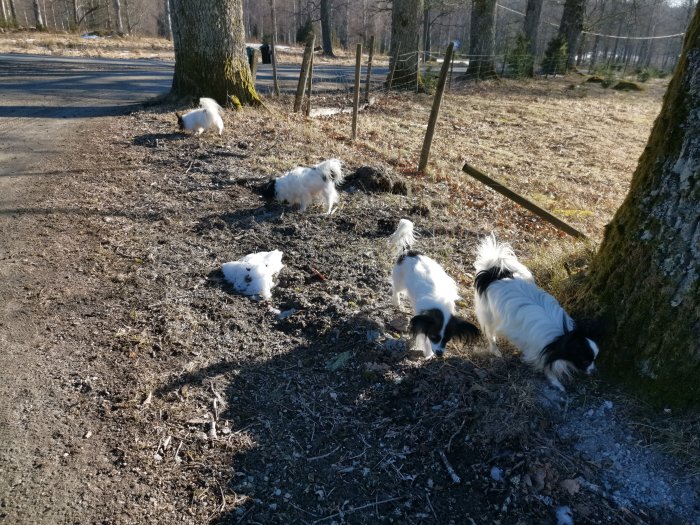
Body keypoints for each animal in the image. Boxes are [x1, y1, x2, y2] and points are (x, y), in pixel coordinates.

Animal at [388, 219, 482, 358]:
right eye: (433, 337)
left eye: (447, 339)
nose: (439, 354)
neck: (439, 307)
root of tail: (409, 252)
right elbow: (424, 338)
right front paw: (428, 353)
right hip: (400, 280)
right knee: (396, 288)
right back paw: (396, 301)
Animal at [476, 233, 600, 388]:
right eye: (585, 361)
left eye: (595, 359)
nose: (594, 371)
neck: (561, 337)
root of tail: (494, 274)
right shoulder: (540, 351)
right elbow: (548, 368)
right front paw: (556, 384)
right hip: (489, 316)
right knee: (490, 333)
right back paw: (495, 350)